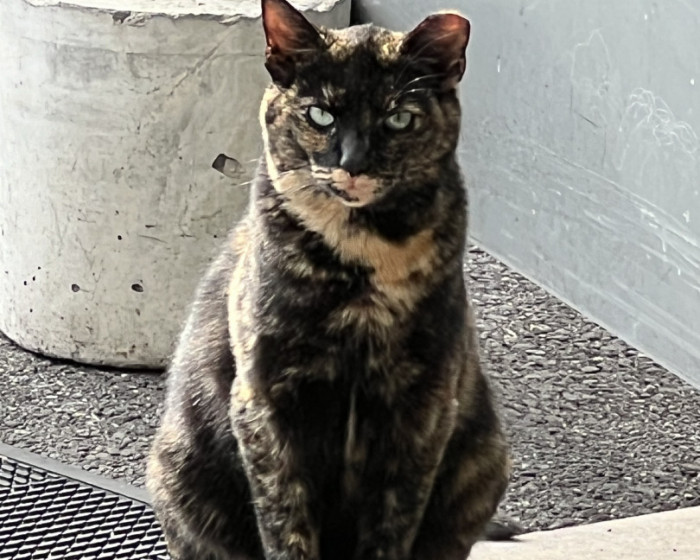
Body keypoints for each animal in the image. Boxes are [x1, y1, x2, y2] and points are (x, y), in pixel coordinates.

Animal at [146, 1, 511, 559]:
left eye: (398, 118)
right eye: (321, 114)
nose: (353, 163)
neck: (365, 258)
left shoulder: (422, 408)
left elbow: (392, 524)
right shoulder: (266, 402)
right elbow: (286, 523)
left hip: (483, 462)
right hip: (180, 470)